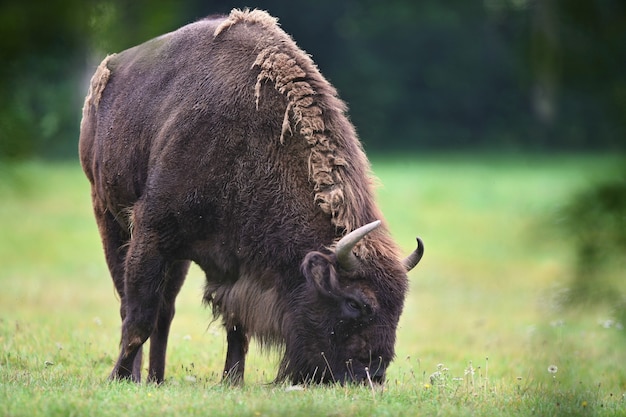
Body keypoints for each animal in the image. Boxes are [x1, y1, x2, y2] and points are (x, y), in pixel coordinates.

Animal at [77, 8, 420, 386]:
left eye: (399, 306)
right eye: (355, 303)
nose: (371, 374)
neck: (250, 142)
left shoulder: (238, 264)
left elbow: (236, 326)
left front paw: (232, 380)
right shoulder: (152, 230)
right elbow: (139, 316)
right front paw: (118, 377)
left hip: (173, 257)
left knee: (166, 312)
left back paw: (156, 378)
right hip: (109, 216)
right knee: (134, 303)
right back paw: (134, 376)